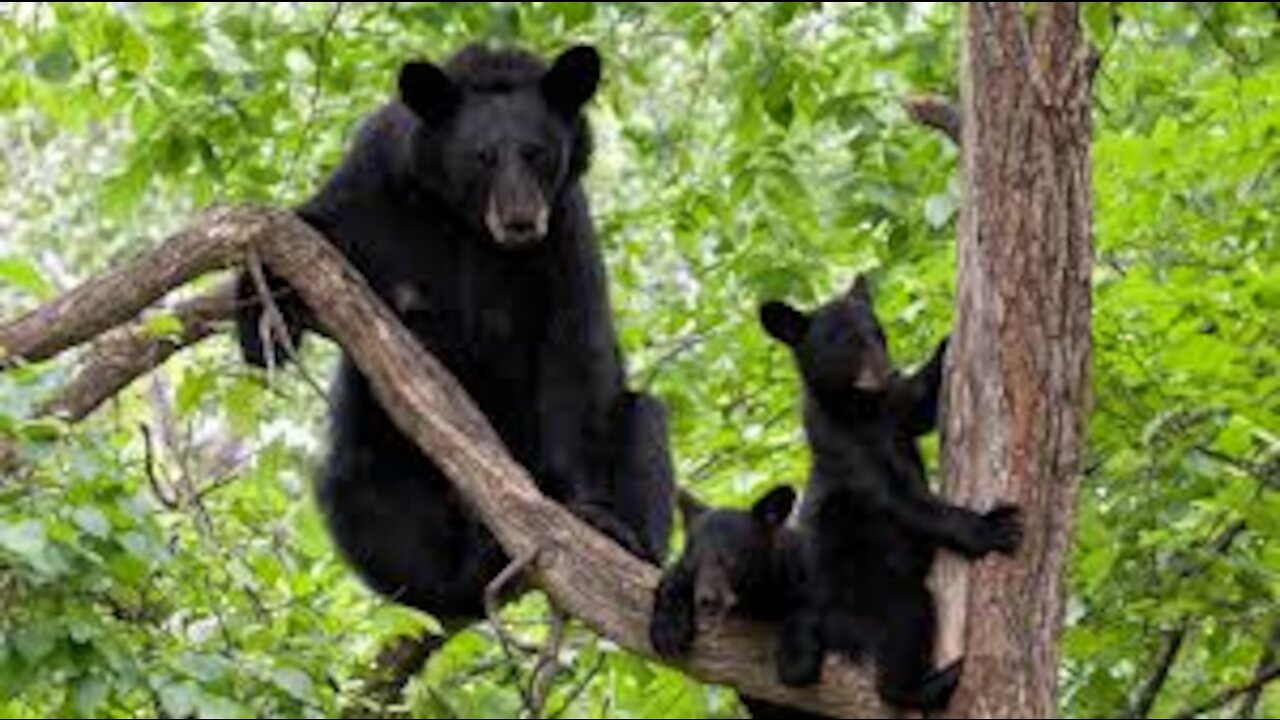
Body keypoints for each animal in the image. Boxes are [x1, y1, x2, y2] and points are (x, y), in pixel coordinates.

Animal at [240, 43, 680, 622]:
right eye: (482, 156)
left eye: (537, 153)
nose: (520, 220)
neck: (467, 223)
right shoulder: (374, 185)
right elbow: (305, 228)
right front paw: (261, 325)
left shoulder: (564, 229)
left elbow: (575, 349)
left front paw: (593, 514)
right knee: (356, 488)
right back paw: (452, 578)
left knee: (643, 418)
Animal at [757, 274, 1018, 712]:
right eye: (846, 342)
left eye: (878, 334)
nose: (889, 373)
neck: (861, 409)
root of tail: (822, 620)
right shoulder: (839, 443)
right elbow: (896, 498)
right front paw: (993, 527)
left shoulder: (894, 410)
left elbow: (921, 407)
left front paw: (946, 342)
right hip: (866, 592)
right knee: (905, 619)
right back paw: (933, 682)